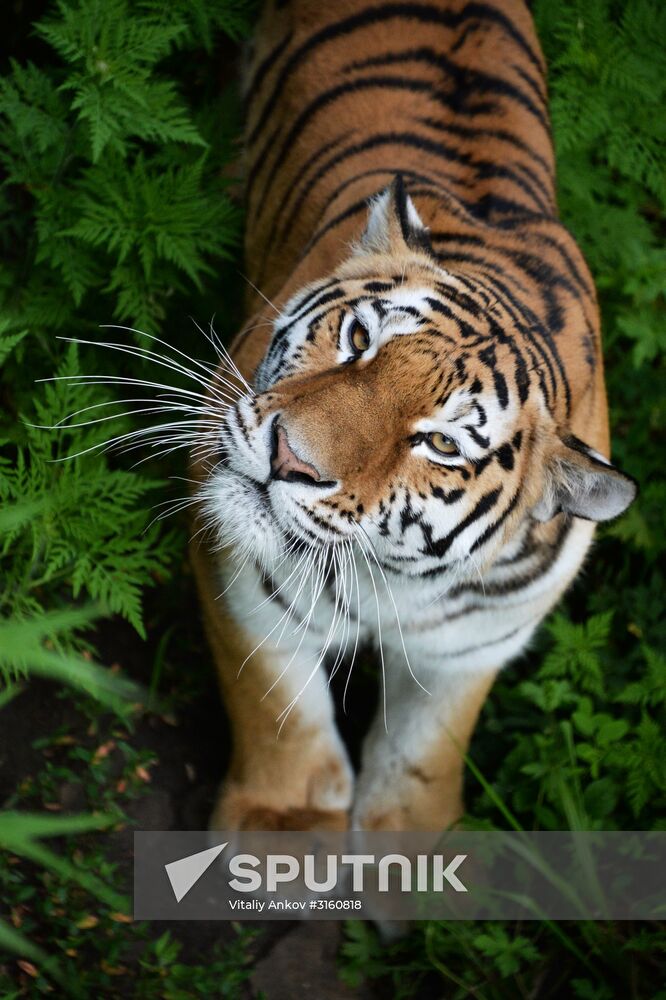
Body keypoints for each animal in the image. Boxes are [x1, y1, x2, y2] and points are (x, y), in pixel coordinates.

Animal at [190, 0, 636, 834]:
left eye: (440, 444)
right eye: (359, 339)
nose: (289, 457)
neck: (386, 576)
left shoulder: (472, 644)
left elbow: (422, 759)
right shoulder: (244, 579)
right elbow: (277, 714)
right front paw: (279, 822)